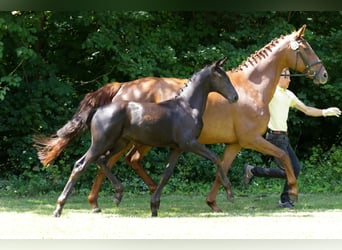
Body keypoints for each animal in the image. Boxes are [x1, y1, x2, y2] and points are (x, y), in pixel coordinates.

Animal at [51, 59, 238, 217]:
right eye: (222, 77)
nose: (235, 97)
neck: (187, 107)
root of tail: (97, 110)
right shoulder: (189, 143)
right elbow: (216, 158)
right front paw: (230, 193)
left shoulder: (177, 147)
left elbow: (167, 174)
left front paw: (154, 206)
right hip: (101, 142)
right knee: (81, 165)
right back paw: (59, 207)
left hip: (120, 143)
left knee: (102, 161)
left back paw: (118, 194)